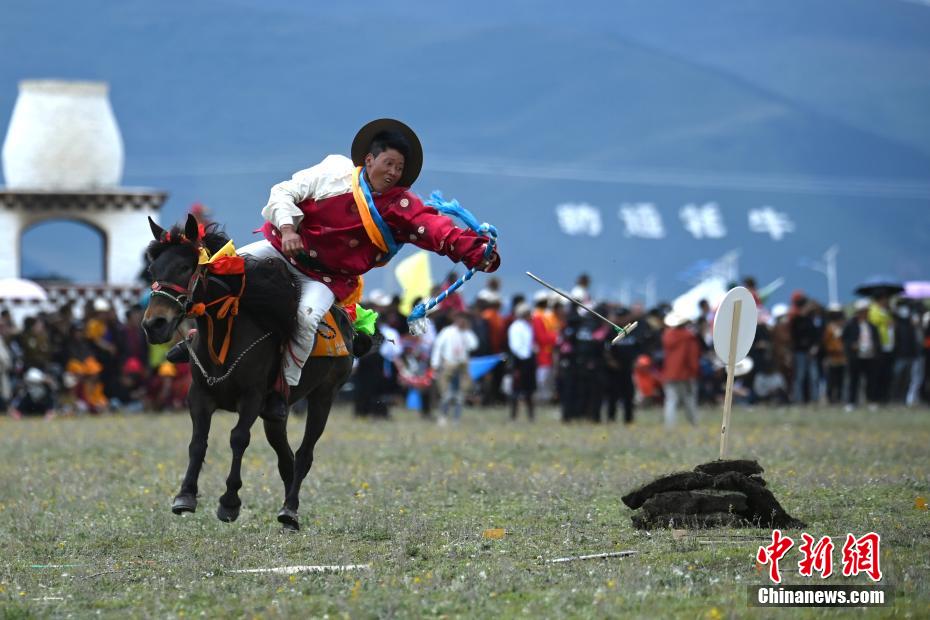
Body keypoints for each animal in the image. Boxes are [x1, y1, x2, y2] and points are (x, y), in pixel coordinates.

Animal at [143, 216, 354, 532]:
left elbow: (238, 438)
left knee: (304, 454)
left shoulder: (252, 397)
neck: (226, 331)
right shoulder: (199, 395)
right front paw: (185, 495)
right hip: (276, 415)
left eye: (185, 267)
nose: (154, 324)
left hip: (324, 396)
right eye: (152, 270)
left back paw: (290, 509)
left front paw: (229, 502)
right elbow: (198, 441)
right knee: (285, 458)